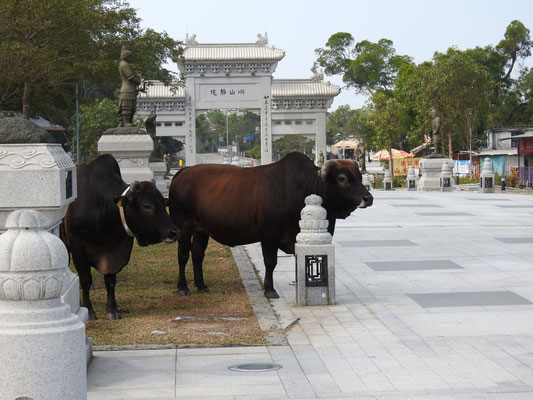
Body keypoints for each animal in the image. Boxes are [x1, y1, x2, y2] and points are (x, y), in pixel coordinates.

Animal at [59, 155, 178, 320]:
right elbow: (85, 279)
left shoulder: (114, 250)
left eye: (163, 203)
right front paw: (89, 310)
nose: (174, 232)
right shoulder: (77, 246)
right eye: (147, 205)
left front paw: (112, 309)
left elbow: (110, 281)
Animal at [168, 152, 372, 298]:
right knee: (183, 255)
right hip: (184, 226)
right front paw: (269, 289)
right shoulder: (269, 235)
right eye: (342, 178)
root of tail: (183, 172)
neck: (301, 188)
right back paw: (183, 287)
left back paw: (201, 285)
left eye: (360, 177)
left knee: (197, 254)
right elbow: (270, 262)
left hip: (201, 230)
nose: (368, 198)